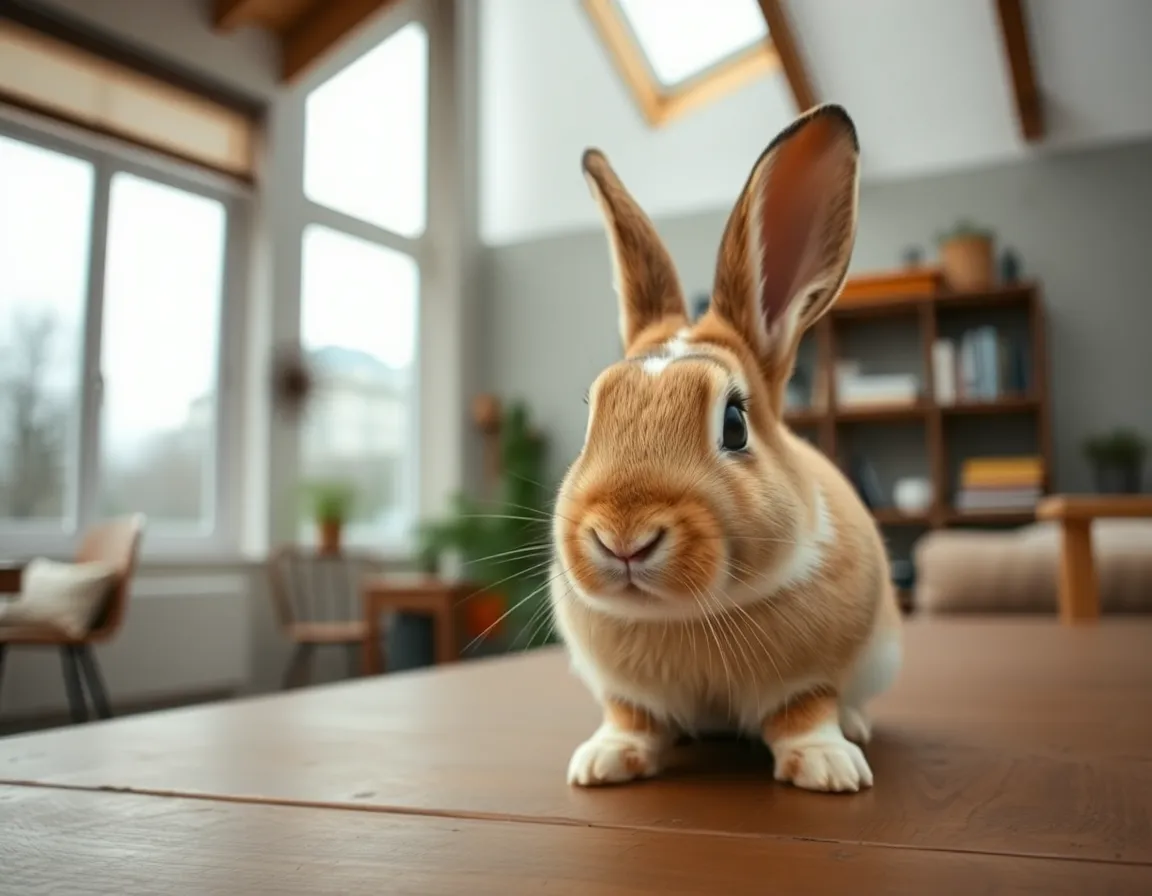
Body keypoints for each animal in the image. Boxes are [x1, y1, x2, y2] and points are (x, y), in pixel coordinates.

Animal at [548, 104, 903, 794]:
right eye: (592, 413)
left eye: (734, 423)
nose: (622, 536)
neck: (687, 616)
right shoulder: (625, 691)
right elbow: (629, 715)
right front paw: (603, 761)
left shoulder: (811, 676)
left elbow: (805, 710)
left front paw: (829, 768)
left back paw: (857, 730)